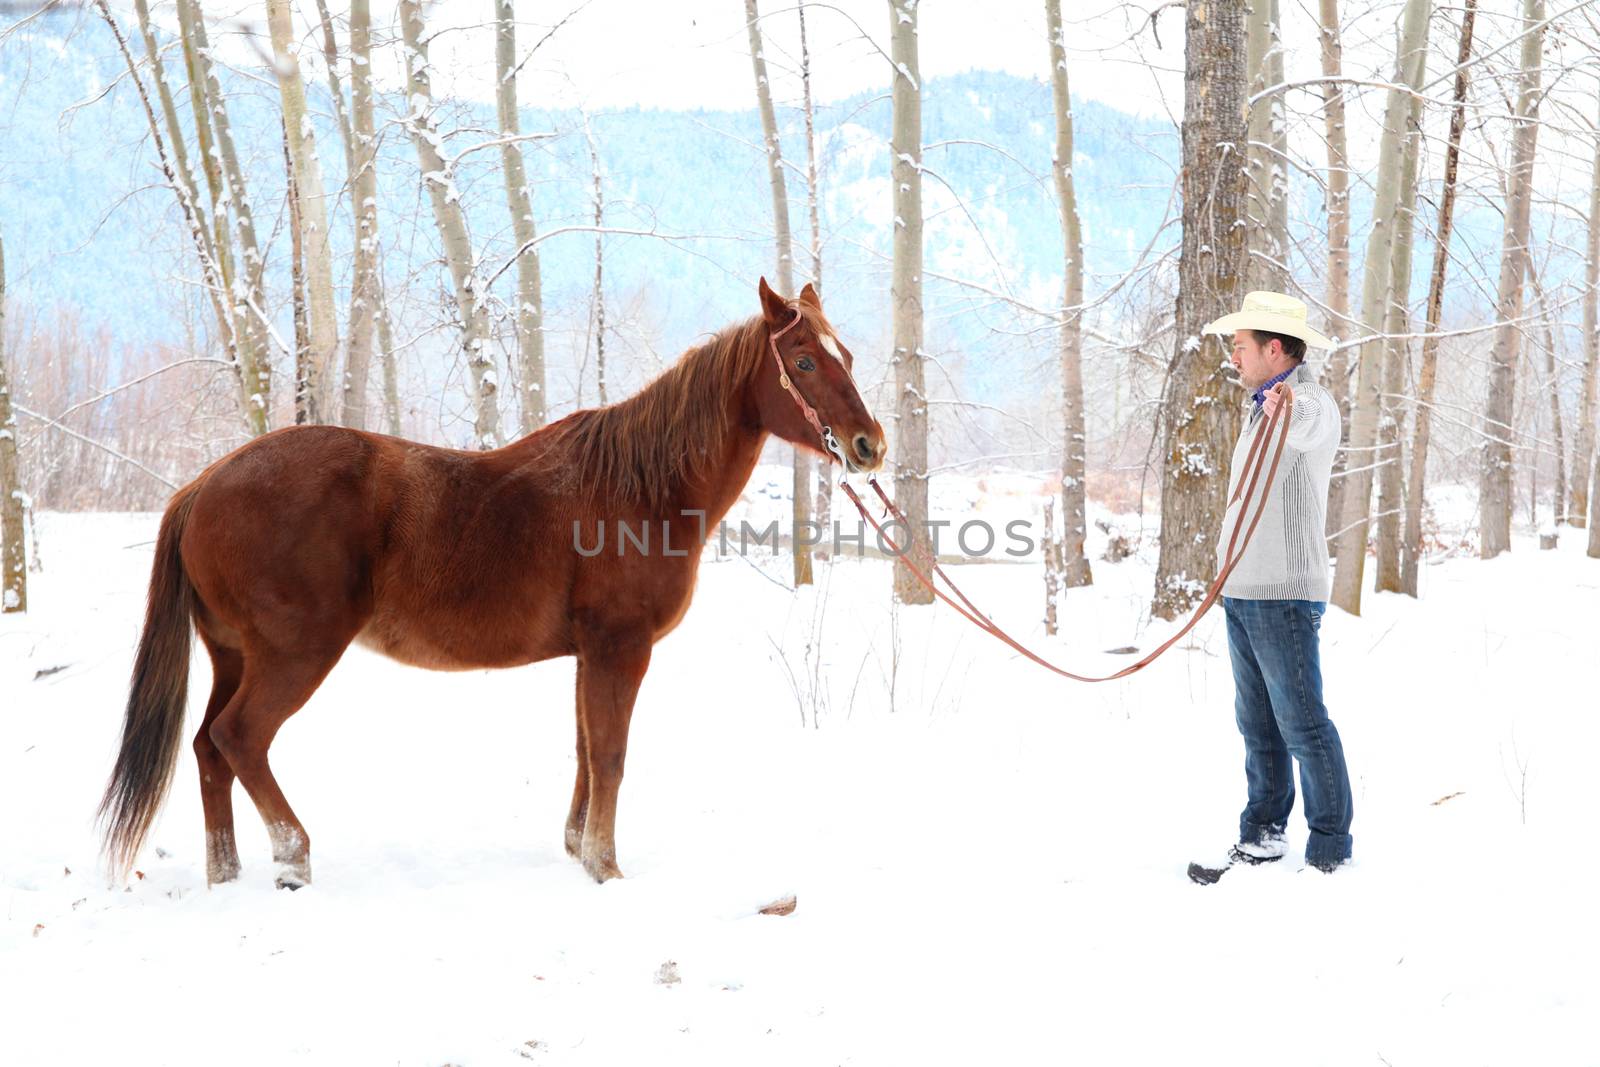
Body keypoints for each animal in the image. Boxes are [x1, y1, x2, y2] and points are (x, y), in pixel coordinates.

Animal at [100, 279, 889, 889]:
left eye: (846, 354)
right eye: (804, 360)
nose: (868, 446)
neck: (640, 487)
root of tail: (203, 484)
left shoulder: (588, 656)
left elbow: (585, 750)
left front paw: (579, 849)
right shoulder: (620, 649)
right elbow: (611, 754)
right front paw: (606, 867)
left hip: (233, 655)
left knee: (208, 750)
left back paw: (228, 875)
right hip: (294, 654)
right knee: (239, 739)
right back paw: (293, 859)